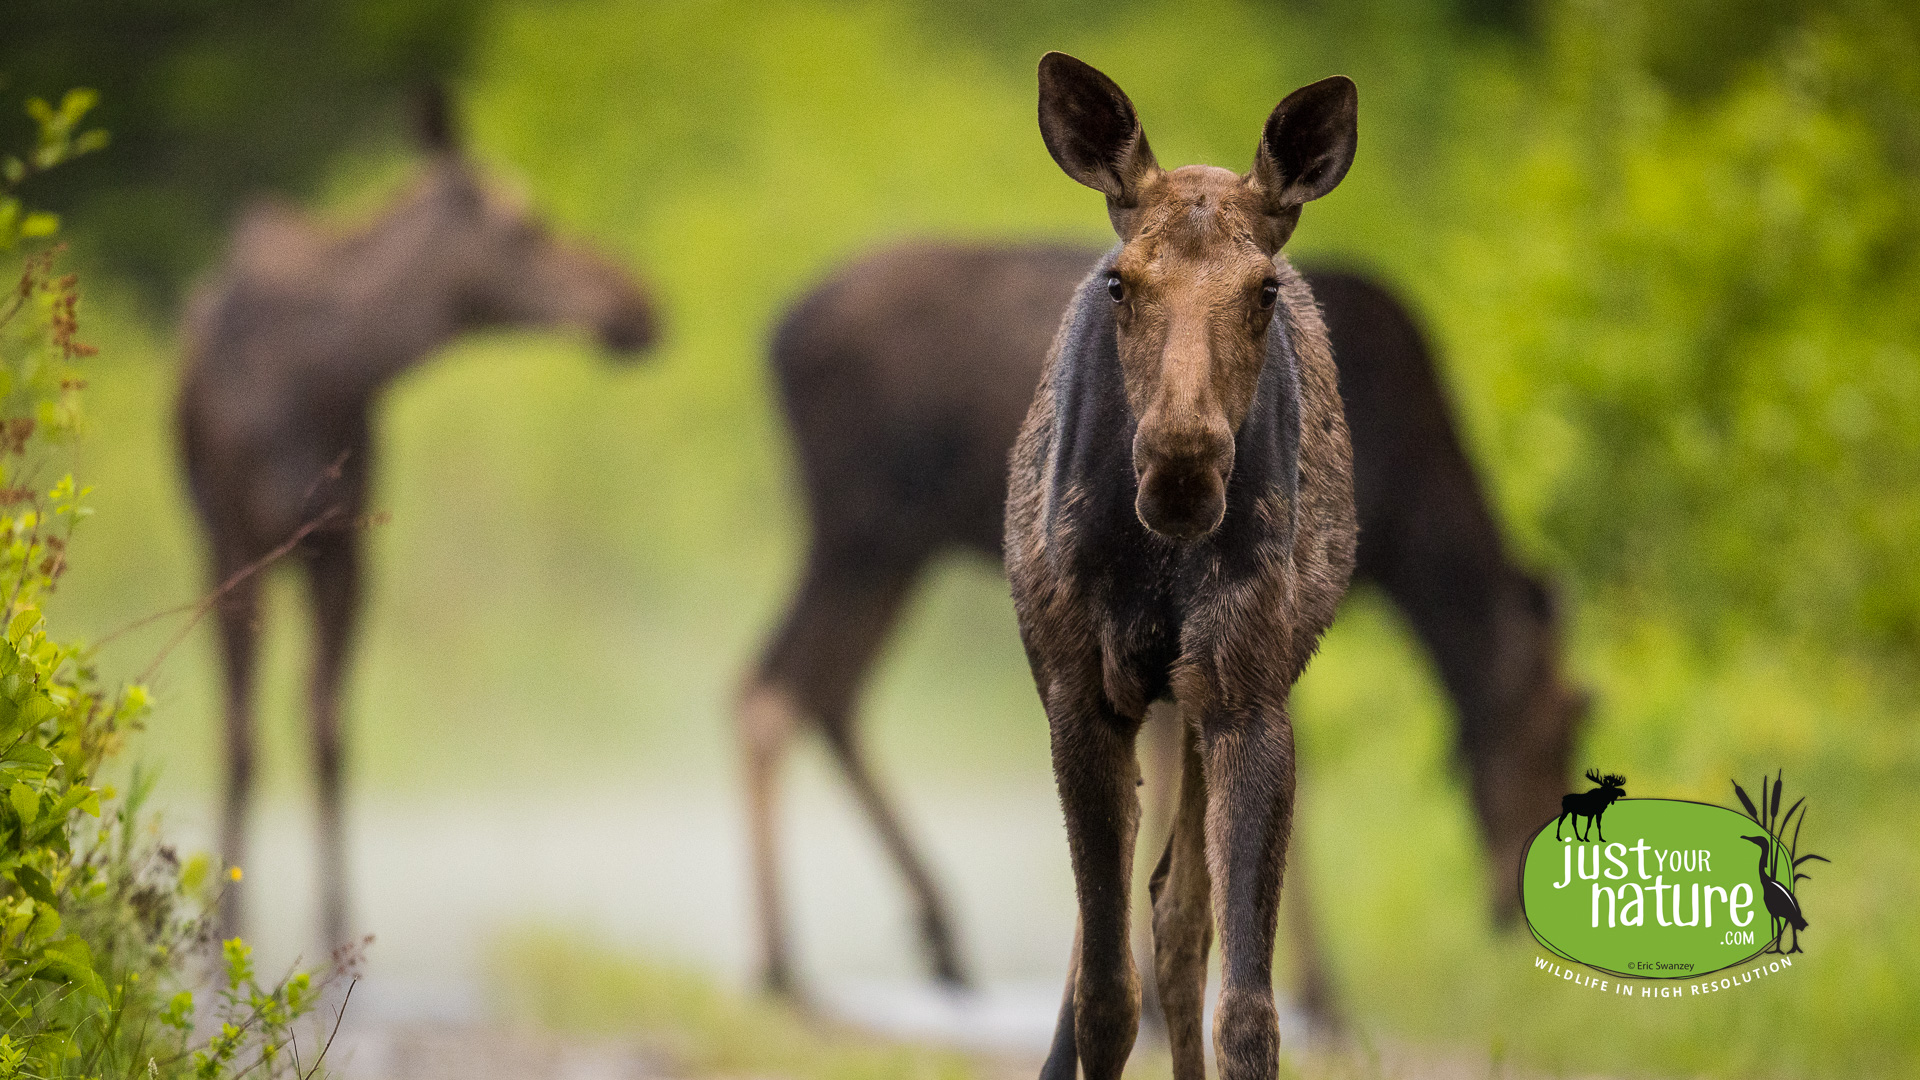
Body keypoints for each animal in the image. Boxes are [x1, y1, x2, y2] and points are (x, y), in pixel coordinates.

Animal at [180, 88, 660, 937]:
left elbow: (331, 732)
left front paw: (337, 922)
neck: (332, 370)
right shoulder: (236, 547)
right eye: (526, 225)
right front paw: (231, 921)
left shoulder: (345, 548)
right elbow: (242, 737)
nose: (638, 303)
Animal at [741, 123, 1582, 1022]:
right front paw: (1309, 990)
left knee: (822, 691)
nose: (1511, 907)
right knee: (774, 689)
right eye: (1553, 732)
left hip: (895, 547)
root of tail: (775, 335)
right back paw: (784, 964)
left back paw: (934, 938)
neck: (1409, 523)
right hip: (857, 529)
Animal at [1013, 52, 1359, 1076]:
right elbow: (1102, 995)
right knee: (1106, 935)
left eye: (1264, 290)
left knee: (1174, 915)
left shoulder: (1246, 694)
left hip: (1198, 702)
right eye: (1122, 284)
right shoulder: (1082, 695)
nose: (1180, 464)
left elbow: (1244, 1003)